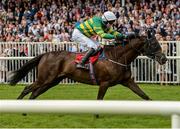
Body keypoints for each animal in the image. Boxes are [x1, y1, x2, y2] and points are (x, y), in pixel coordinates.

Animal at [9, 30, 167, 101]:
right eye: (153, 44)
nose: (164, 59)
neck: (117, 57)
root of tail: (45, 54)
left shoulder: (127, 81)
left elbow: (145, 96)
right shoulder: (104, 83)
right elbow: (99, 100)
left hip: (52, 81)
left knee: (34, 94)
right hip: (44, 79)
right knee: (27, 89)